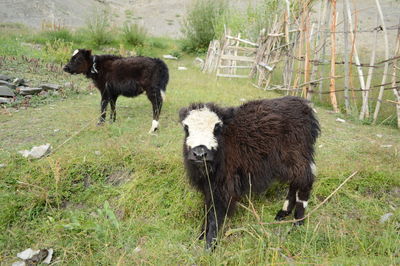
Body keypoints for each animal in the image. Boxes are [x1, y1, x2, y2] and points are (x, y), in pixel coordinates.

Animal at [180, 95, 320, 249]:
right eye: (187, 128)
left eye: (216, 128)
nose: (199, 154)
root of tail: (305, 105)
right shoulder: (209, 184)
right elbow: (207, 207)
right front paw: (201, 235)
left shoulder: (224, 184)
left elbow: (214, 213)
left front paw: (210, 245)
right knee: (295, 182)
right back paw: (283, 213)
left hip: (297, 155)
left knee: (305, 181)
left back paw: (298, 222)